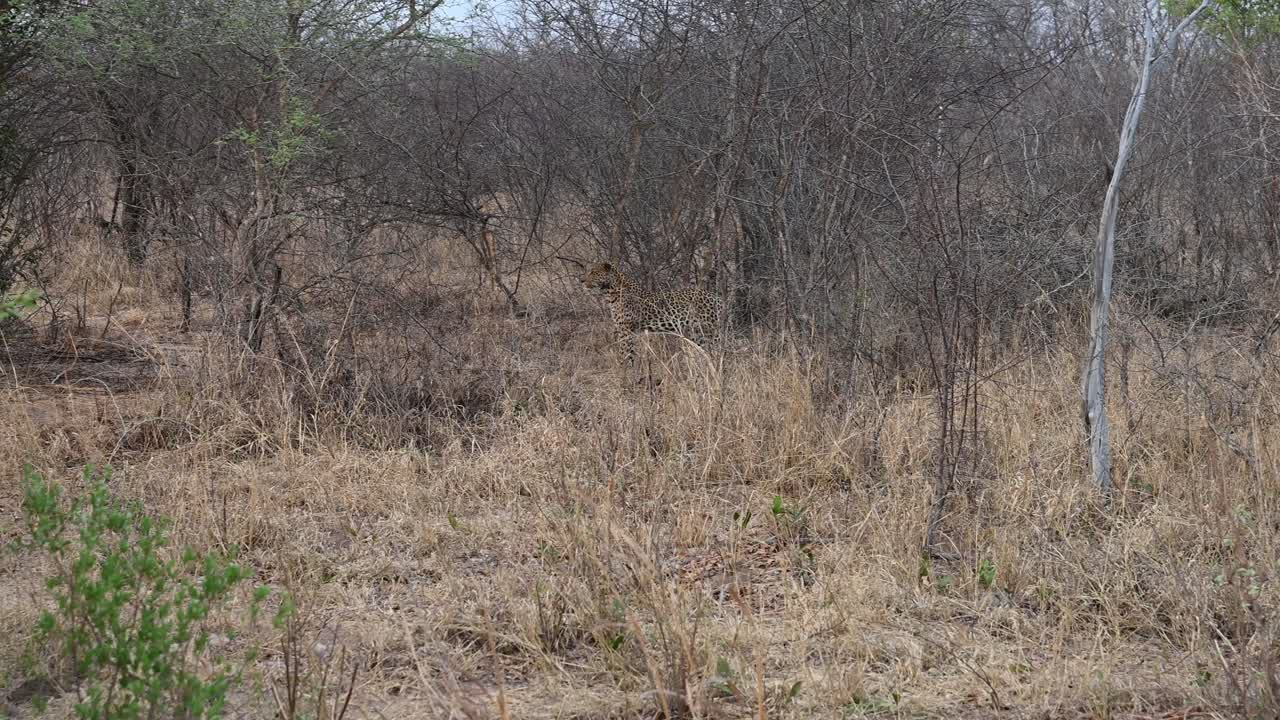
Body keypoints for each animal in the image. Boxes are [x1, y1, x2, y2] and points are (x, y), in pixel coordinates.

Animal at [580, 262, 726, 367]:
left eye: (593, 272)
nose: (581, 281)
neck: (610, 291)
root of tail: (716, 297)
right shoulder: (630, 331)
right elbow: (631, 354)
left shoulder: (625, 329)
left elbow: (623, 353)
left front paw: (621, 371)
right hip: (698, 334)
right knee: (709, 353)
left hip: (710, 331)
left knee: (721, 351)